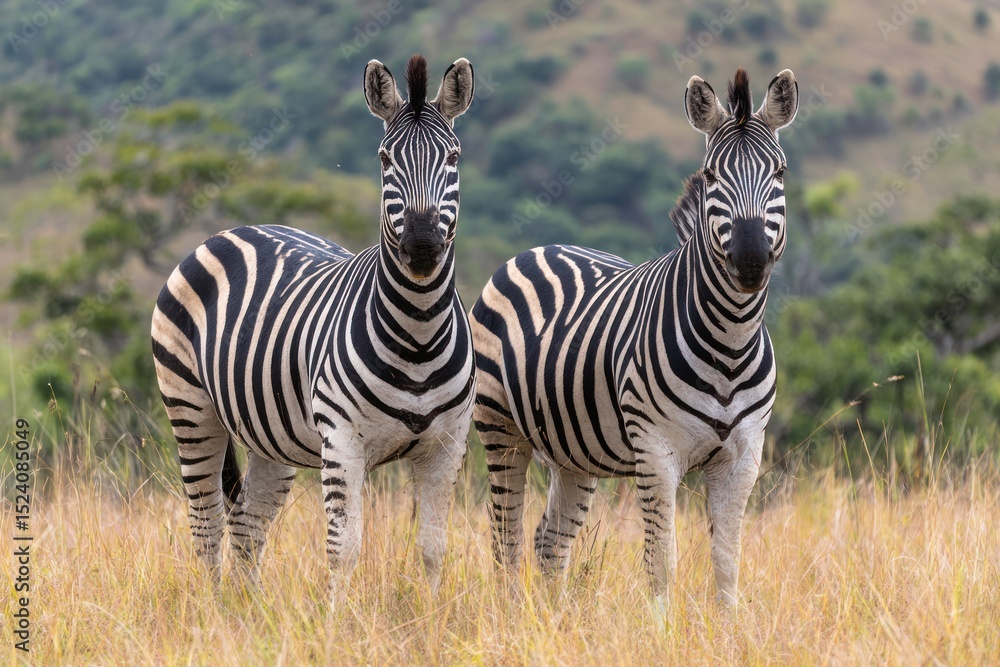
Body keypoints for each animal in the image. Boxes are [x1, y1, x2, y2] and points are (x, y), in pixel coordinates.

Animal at [151, 54, 476, 606]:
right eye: (385, 160)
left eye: (453, 157)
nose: (422, 246)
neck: (419, 333)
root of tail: (239, 229)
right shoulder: (342, 441)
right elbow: (343, 549)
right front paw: (336, 623)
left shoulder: (447, 445)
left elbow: (433, 548)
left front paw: (433, 621)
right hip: (190, 407)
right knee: (206, 525)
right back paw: (212, 610)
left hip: (267, 436)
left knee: (248, 526)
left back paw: (250, 614)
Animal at [470, 68, 797, 607]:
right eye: (711, 176)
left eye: (781, 172)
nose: (751, 261)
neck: (729, 345)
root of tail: (539, 248)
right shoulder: (655, 452)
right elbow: (661, 561)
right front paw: (661, 626)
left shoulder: (744, 456)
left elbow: (727, 563)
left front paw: (730, 627)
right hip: (501, 430)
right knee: (505, 537)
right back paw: (507, 614)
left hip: (573, 452)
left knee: (549, 542)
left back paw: (555, 621)